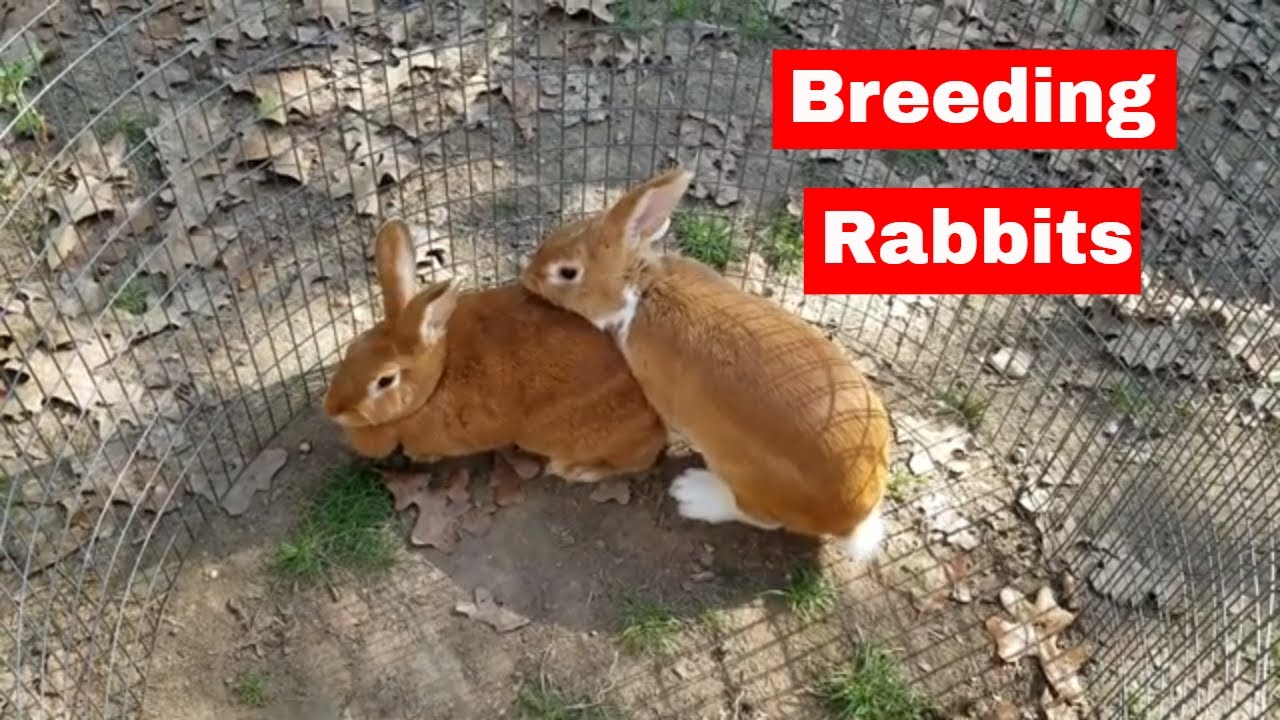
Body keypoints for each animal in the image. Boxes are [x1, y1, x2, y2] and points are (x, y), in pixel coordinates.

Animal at [322, 218, 668, 483]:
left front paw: (422, 455)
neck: (436, 378)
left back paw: (577, 470)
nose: (332, 410)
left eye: (385, 381)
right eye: (351, 349)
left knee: (639, 461)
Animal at [518, 167, 893, 563]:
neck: (641, 288)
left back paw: (693, 494)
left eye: (567, 272)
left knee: (758, 517)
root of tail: (853, 517)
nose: (528, 276)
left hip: (746, 476)